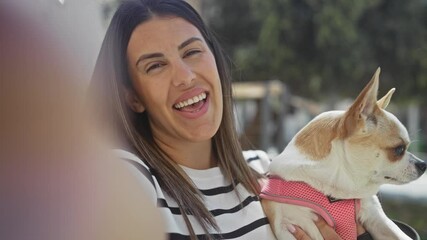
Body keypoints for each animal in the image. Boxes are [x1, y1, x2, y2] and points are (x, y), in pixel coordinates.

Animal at [262, 68, 426, 240]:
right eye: (399, 149)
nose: (423, 164)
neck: (338, 192)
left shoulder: (375, 216)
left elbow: (400, 235)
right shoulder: (298, 224)